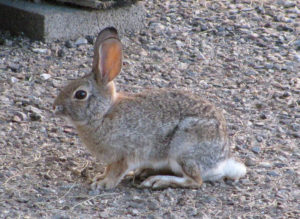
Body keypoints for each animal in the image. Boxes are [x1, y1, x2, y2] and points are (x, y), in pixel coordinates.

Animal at [54, 26, 246, 189]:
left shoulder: (125, 155)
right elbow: (108, 169)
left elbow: (116, 172)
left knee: (195, 180)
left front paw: (103, 184)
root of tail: (221, 163)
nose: (56, 106)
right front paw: (100, 177)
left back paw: (157, 181)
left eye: (80, 94)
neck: (103, 114)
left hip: (184, 149)